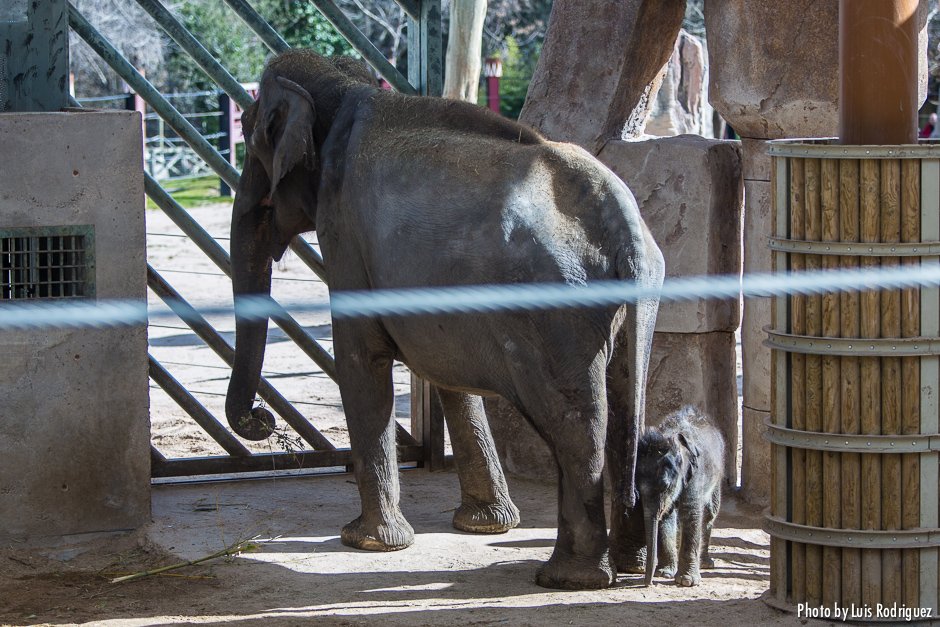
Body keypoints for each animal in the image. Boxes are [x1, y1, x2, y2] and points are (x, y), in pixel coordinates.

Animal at [224, 49, 665, 590]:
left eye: (250, 140)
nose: (262, 420)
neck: (343, 86)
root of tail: (622, 219)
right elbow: (446, 368)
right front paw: (484, 525)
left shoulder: (343, 228)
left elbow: (359, 356)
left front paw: (366, 542)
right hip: (636, 300)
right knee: (627, 407)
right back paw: (632, 564)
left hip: (554, 310)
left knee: (574, 426)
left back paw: (568, 578)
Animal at [634, 406, 724, 587]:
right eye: (637, 487)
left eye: (665, 485)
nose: (649, 584)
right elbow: (667, 516)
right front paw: (664, 573)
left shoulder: (695, 475)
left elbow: (691, 514)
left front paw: (687, 582)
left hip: (717, 478)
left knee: (709, 514)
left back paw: (705, 563)